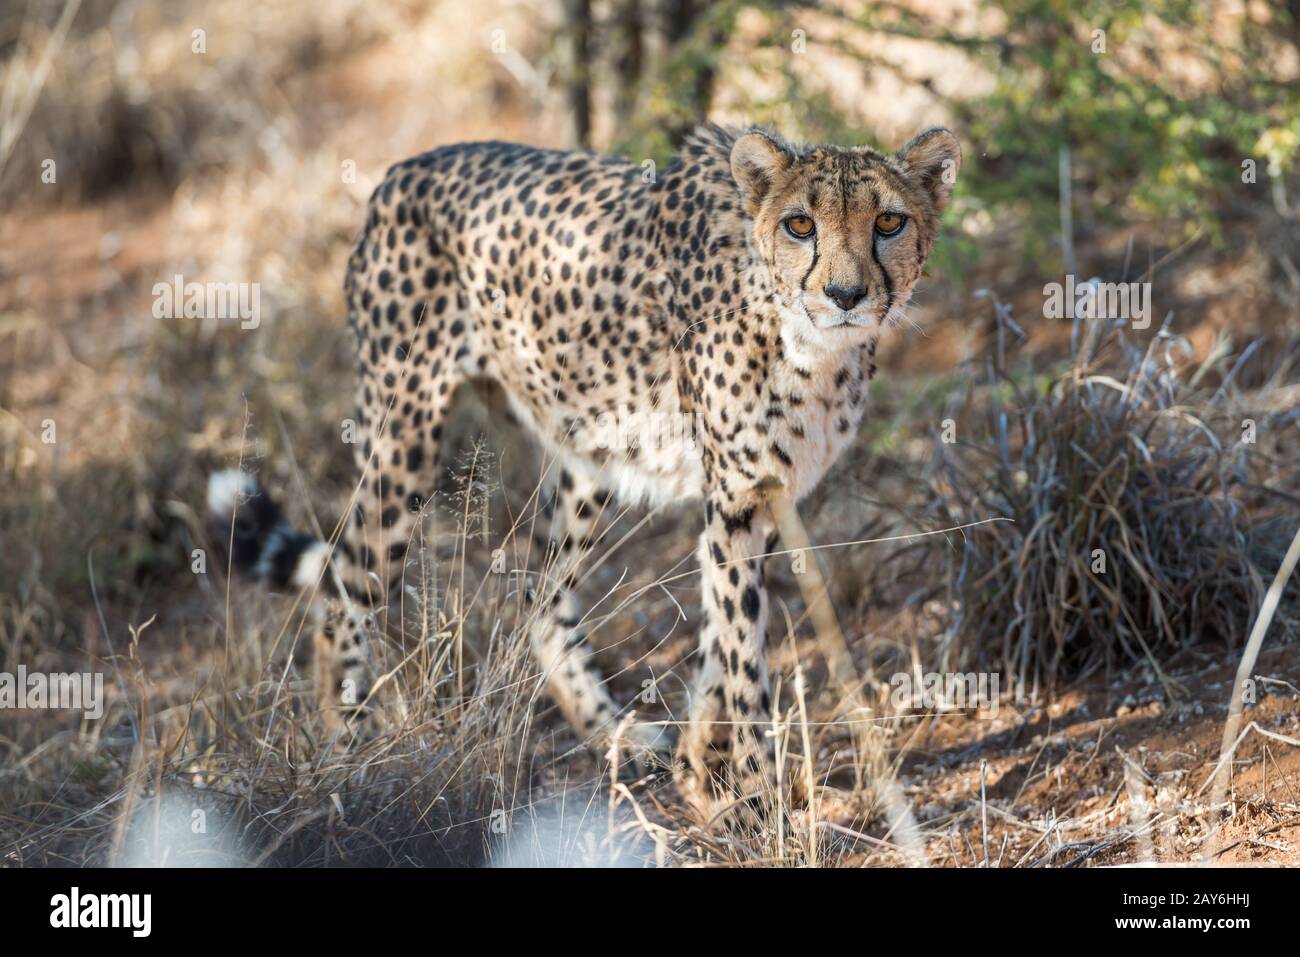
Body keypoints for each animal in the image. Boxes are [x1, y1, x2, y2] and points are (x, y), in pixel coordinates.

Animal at [208, 121, 961, 816]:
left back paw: (617, 734)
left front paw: (699, 764)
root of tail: (407, 167)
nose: (845, 294)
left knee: (540, 598)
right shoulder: (737, 498)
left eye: (889, 221)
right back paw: (349, 752)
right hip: (404, 431)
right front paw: (753, 796)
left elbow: (720, 641)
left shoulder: (756, 499)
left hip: (587, 452)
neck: (807, 344)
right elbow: (743, 652)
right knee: (347, 588)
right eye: (800, 224)